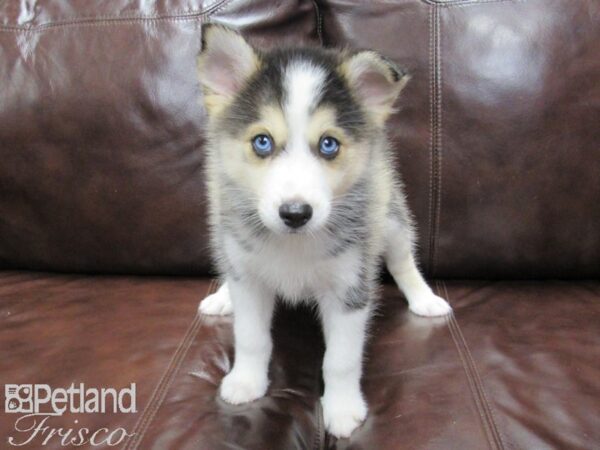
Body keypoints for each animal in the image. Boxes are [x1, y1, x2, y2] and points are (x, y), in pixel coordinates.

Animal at [197, 24, 450, 436]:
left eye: (328, 144)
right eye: (262, 141)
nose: (295, 213)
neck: (293, 244)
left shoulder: (350, 287)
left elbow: (341, 359)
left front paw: (343, 408)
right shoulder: (249, 281)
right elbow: (251, 337)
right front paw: (246, 381)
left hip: (391, 217)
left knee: (403, 260)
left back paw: (424, 299)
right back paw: (222, 297)